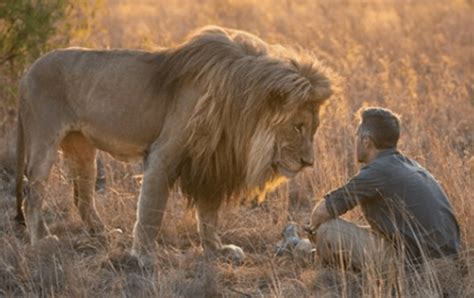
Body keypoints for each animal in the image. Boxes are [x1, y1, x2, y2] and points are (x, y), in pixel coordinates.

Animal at [15, 25, 334, 264]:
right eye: (297, 126)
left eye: (314, 128)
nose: (309, 162)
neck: (239, 105)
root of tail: (27, 70)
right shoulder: (163, 154)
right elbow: (151, 210)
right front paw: (143, 257)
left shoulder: (212, 160)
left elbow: (209, 214)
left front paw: (217, 250)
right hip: (43, 140)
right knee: (33, 193)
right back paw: (41, 241)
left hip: (81, 148)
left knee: (82, 196)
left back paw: (101, 234)